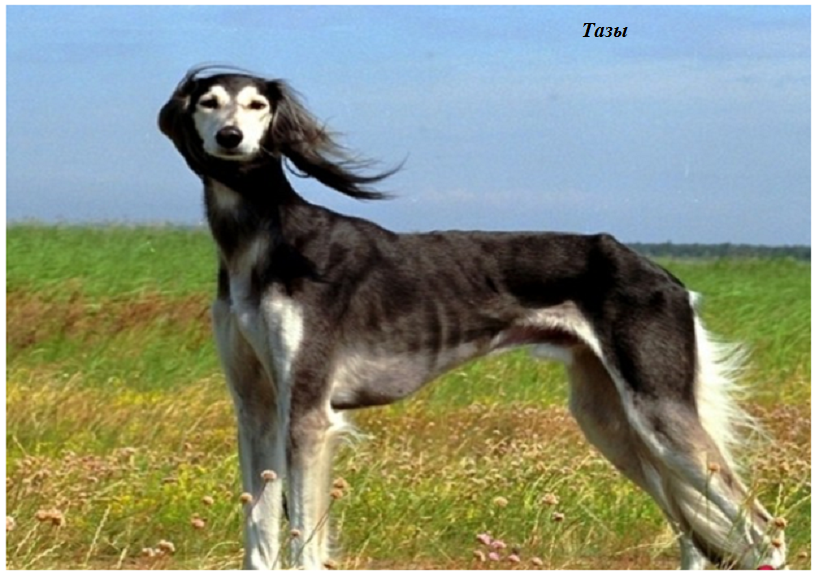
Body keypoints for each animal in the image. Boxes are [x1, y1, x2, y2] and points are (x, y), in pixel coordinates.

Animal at [158, 66, 787, 570]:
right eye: (208, 101)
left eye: (256, 105)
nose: (232, 139)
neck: (263, 242)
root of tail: (665, 276)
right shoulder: (257, 409)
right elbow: (259, 531)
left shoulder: (309, 414)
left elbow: (302, 542)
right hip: (612, 419)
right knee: (696, 537)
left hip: (659, 413)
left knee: (763, 534)